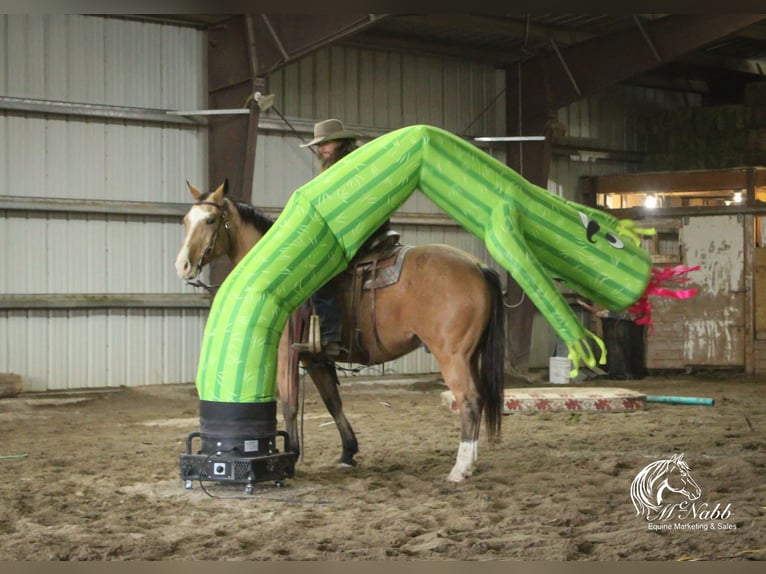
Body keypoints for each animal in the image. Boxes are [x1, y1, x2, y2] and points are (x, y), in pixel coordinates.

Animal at [176, 182, 508, 484]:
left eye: (210, 220)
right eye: (186, 220)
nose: (183, 266)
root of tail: (478, 266)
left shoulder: (286, 352)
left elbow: (290, 404)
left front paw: (292, 457)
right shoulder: (315, 359)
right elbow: (332, 401)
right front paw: (348, 451)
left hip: (451, 355)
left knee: (469, 400)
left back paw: (459, 469)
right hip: (470, 355)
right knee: (479, 398)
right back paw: (470, 462)